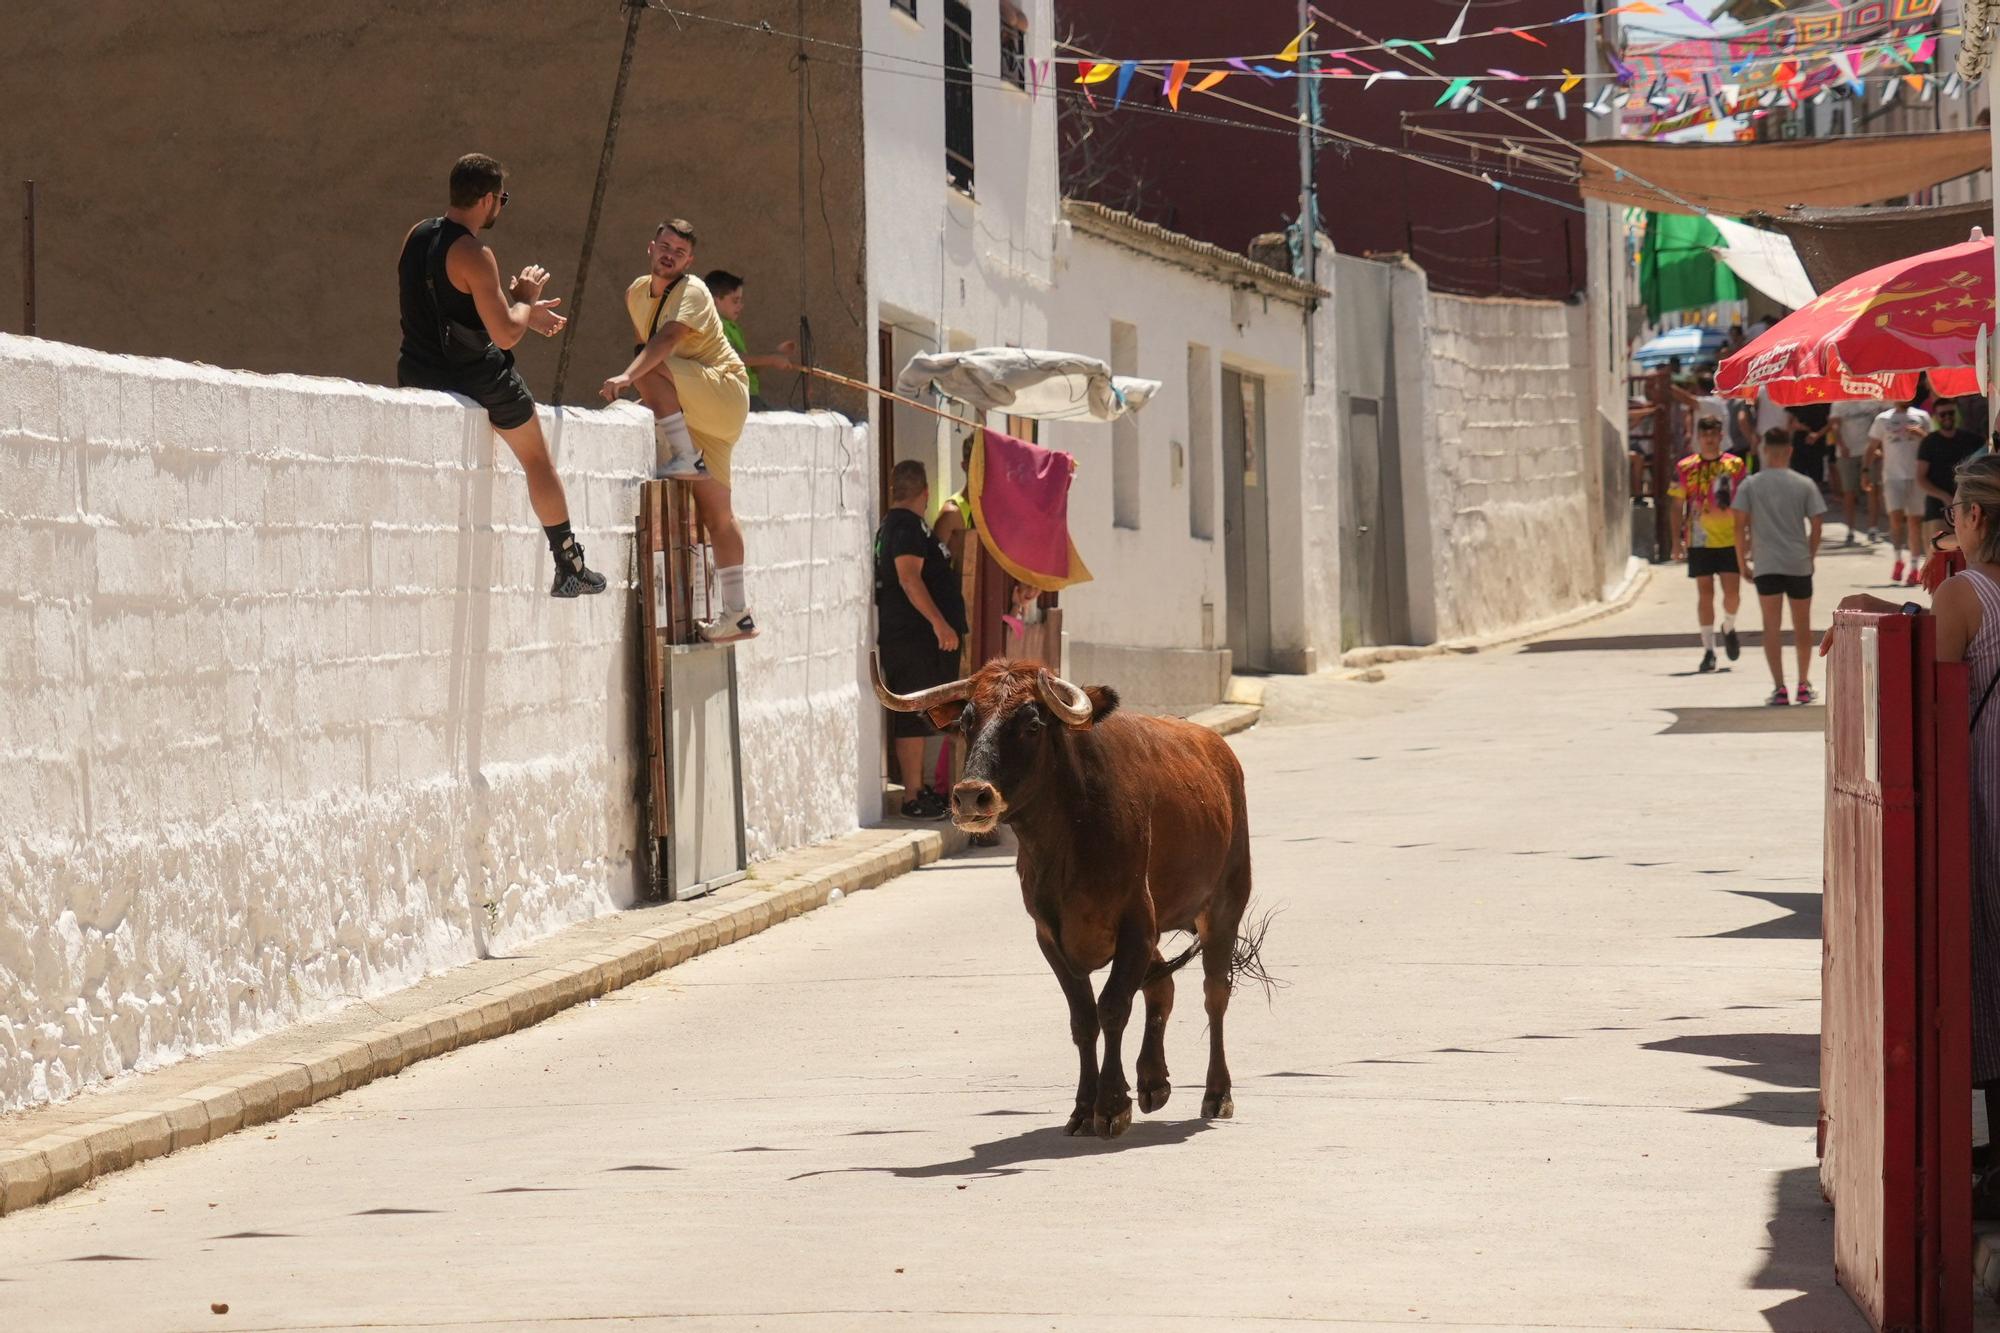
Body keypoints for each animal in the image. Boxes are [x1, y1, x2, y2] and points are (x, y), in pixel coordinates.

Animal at [872, 652, 1256, 1128]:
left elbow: (1112, 1007)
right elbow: (1083, 1019)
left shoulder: (1135, 923)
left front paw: (1112, 1106)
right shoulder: (1052, 936)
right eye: (966, 722)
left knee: (1214, 992)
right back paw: (1153, 1081)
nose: (970, 796)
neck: (1066, 841)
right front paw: (1084, 1107)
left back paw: (1217, 1093)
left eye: (1032, 725)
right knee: (1161, 986)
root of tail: (1217, 749)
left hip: (1224, 906)